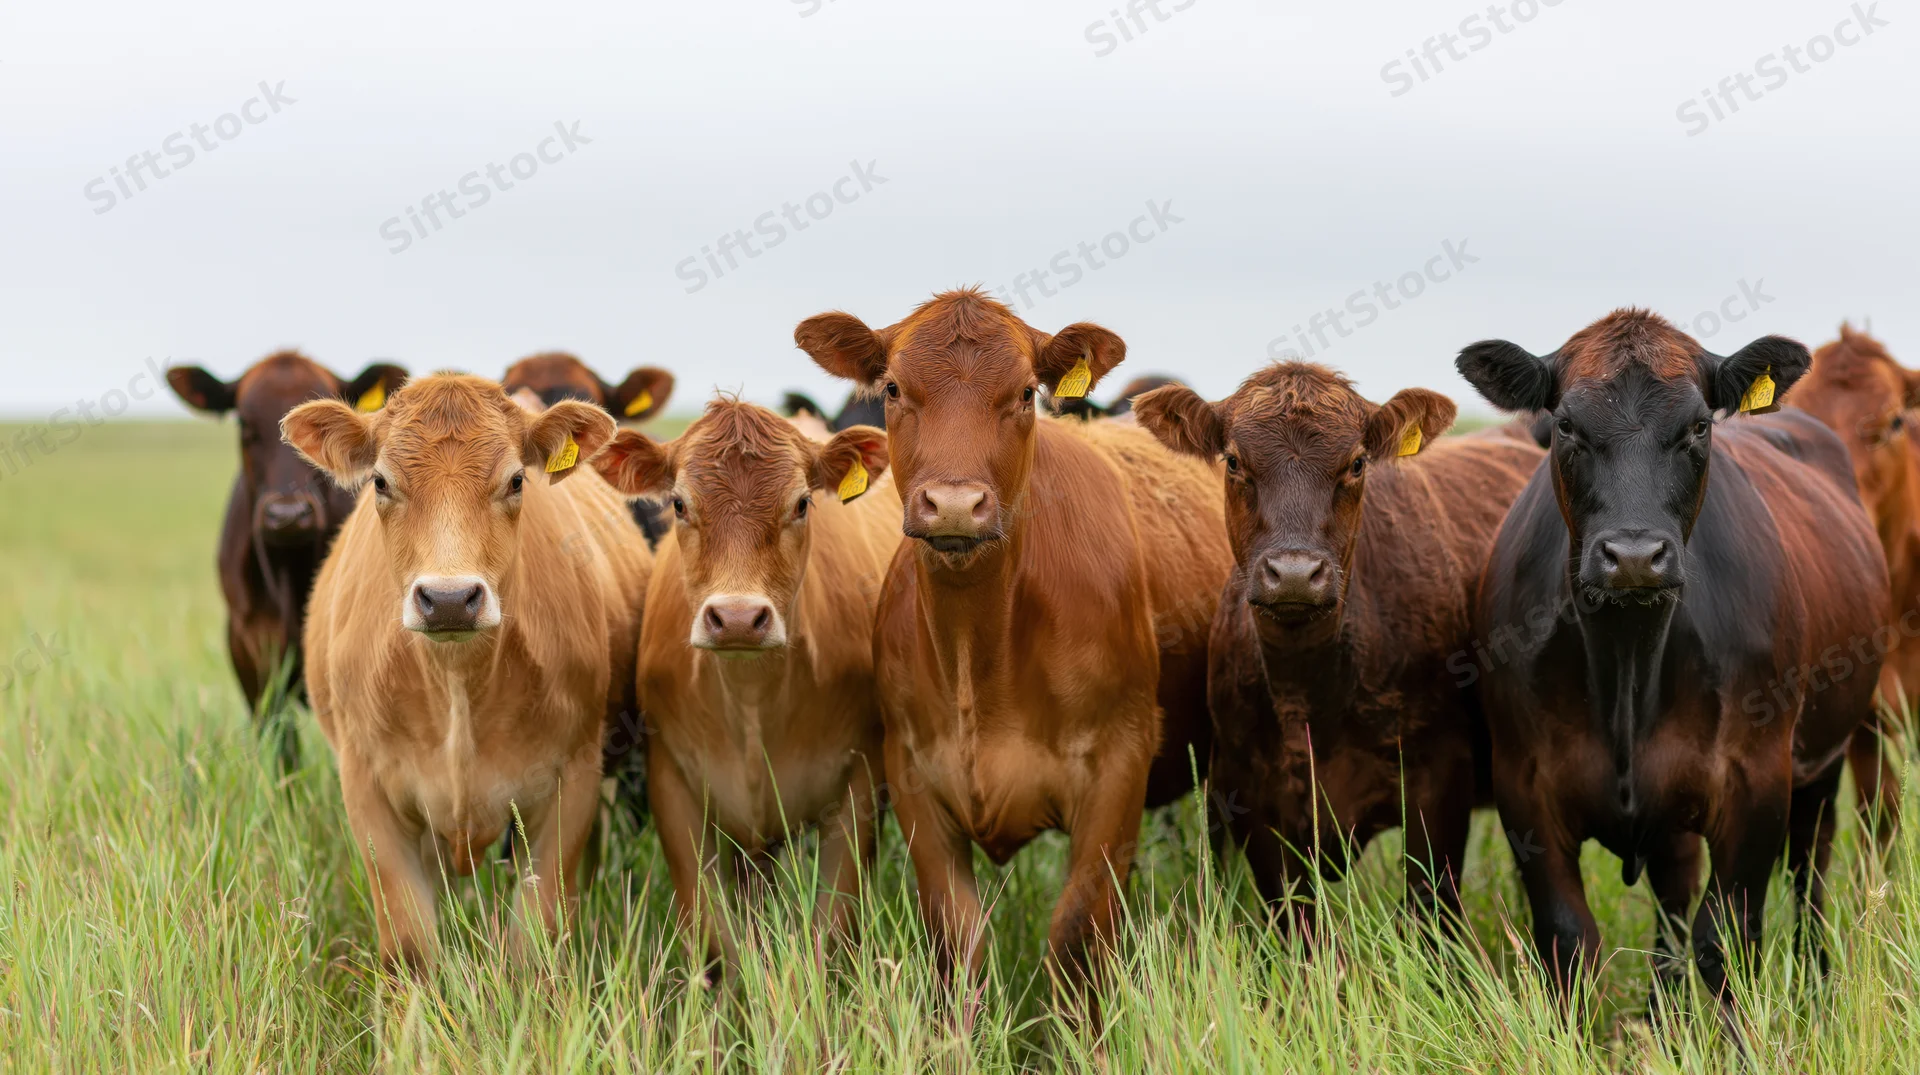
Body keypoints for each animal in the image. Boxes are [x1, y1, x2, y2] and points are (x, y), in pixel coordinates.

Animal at [284, 374, 652, 968]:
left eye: (517, 480)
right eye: (381, 481)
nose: (450, 599)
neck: (457, 685)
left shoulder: (572, 781)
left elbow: (537, 936)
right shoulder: (367, 788)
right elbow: (410, 944)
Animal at [591, 398, 896, 970]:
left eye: (802, 503)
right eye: (679, 503)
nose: (736, 618)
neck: (752, 699)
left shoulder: (859, 785)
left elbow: (828, 933)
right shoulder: (673, 786)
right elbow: (717, 942)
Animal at [793, 288, 1232, 986]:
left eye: (1027, 392)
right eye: (892, 387)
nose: (953, 504)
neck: (979, 652)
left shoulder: (1119, 768)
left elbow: (1077, 933)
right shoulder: (913, 775)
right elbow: (957, 937)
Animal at [1131, 364, 1541, 931]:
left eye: (1357, 463)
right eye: (1233, 461)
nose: (1294, 573)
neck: (1309, 694)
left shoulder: (1440, 782)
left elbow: (1429, 914)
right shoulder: (1253, 799)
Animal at [1454, 310, 1889, 1014]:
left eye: (1699, 426)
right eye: (1565, 425)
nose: (1634, 556)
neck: (1630, 662)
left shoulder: (1757, 782)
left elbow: (1726, 937)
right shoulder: (1526, 788)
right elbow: (1570, 939)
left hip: (1825, 762)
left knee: (1809, 872)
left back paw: (1816, 979)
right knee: (1674, 898)